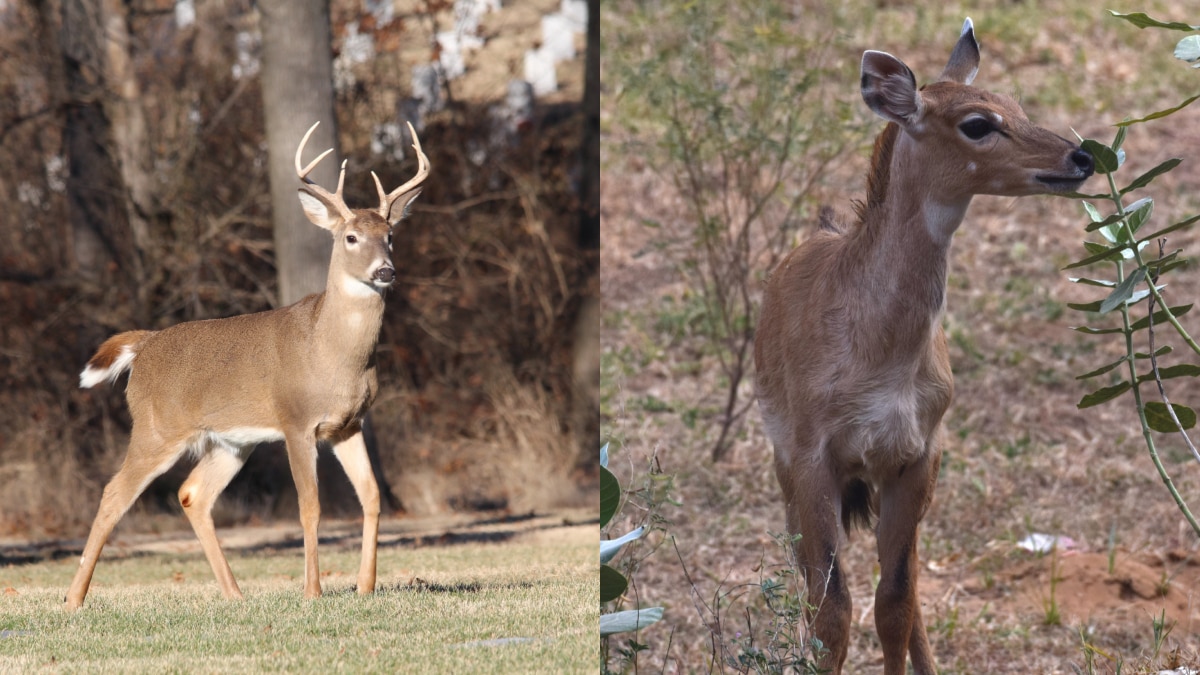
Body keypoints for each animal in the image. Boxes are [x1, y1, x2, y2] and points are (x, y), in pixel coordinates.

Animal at [66, 120, 432, 610]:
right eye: (350, 237)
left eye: (390, 235)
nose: (385, 271)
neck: (334, 356)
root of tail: (143, 346)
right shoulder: (296, 421)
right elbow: (310, 506)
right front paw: (313, 592)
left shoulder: (348, 424)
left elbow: (371, 496)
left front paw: (365, 586)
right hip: (156, 428)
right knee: (113, 493)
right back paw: (73, 599)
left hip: (230, 441)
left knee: (192, 493)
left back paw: (234, 594)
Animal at [753, 18, 1094, 667]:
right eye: (978, 122)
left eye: (1018, 104)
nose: (1081, 156)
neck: (879, 354)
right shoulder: (812, 457)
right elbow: (833, 608)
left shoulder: (916, 455)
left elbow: (895, 602)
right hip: (786, 470)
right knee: (809, 584)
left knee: (906, 595)